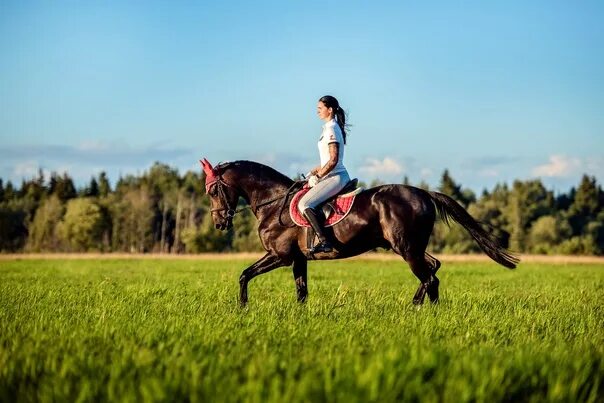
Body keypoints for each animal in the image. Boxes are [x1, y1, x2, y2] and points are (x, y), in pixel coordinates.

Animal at [199, 159, 520, 306]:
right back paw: (421, 308)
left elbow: (244, 274)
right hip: (409, 247)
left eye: (213, 190)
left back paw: (419, 311)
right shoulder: (299, 259)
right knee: (433, 269)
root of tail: (424, 193)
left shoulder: (280, 255)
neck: (273, 202)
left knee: (429, 277)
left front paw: (242, 308)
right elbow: (302, 292)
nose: (219, 223)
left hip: (406, 249)